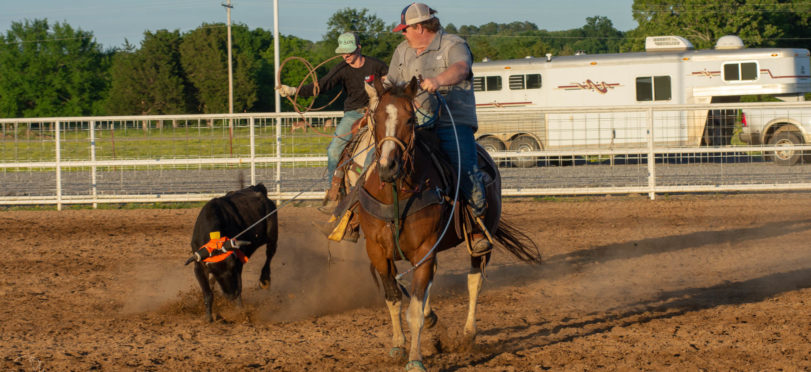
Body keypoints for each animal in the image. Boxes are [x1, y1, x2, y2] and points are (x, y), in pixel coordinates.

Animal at [358, 77, 544, 370]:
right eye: (375, 118)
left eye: (410, 119)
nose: (389, 167)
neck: (397, 195)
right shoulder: (377, 252)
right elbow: (393, 299)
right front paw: (398, 345)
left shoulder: (424, 251)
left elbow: (414, 311)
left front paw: (415, 360)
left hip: (482, 240)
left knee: (474, 281)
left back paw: (468, 335)